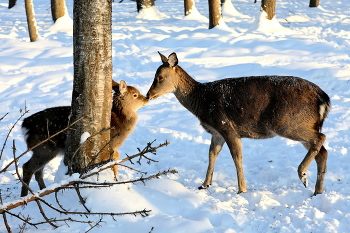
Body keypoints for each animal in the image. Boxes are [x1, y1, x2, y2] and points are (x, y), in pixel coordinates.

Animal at [20, 80, 148, 197]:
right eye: (135, 94)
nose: (146, 99)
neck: (119, 125)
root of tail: (25, 125)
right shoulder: (112, 146)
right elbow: (114, 164)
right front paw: (115, 180)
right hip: (44, 148)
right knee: (27, 167)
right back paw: (24, 197)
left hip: (44, 150)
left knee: (38, 171)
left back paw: (43, 191)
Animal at [147, 52, 330, 195]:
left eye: (160, 77)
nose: (148, 95)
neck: (202, 102)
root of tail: (324, 99)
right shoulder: (217, 132)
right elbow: (212, 154)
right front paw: (204, 184)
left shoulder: (227, 127)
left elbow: (237, 157)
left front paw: (242, 189)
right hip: (303, 124)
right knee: (322, 152)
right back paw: (317, 191)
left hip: (288, 123)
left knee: (321, 137)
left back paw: (303, 175)